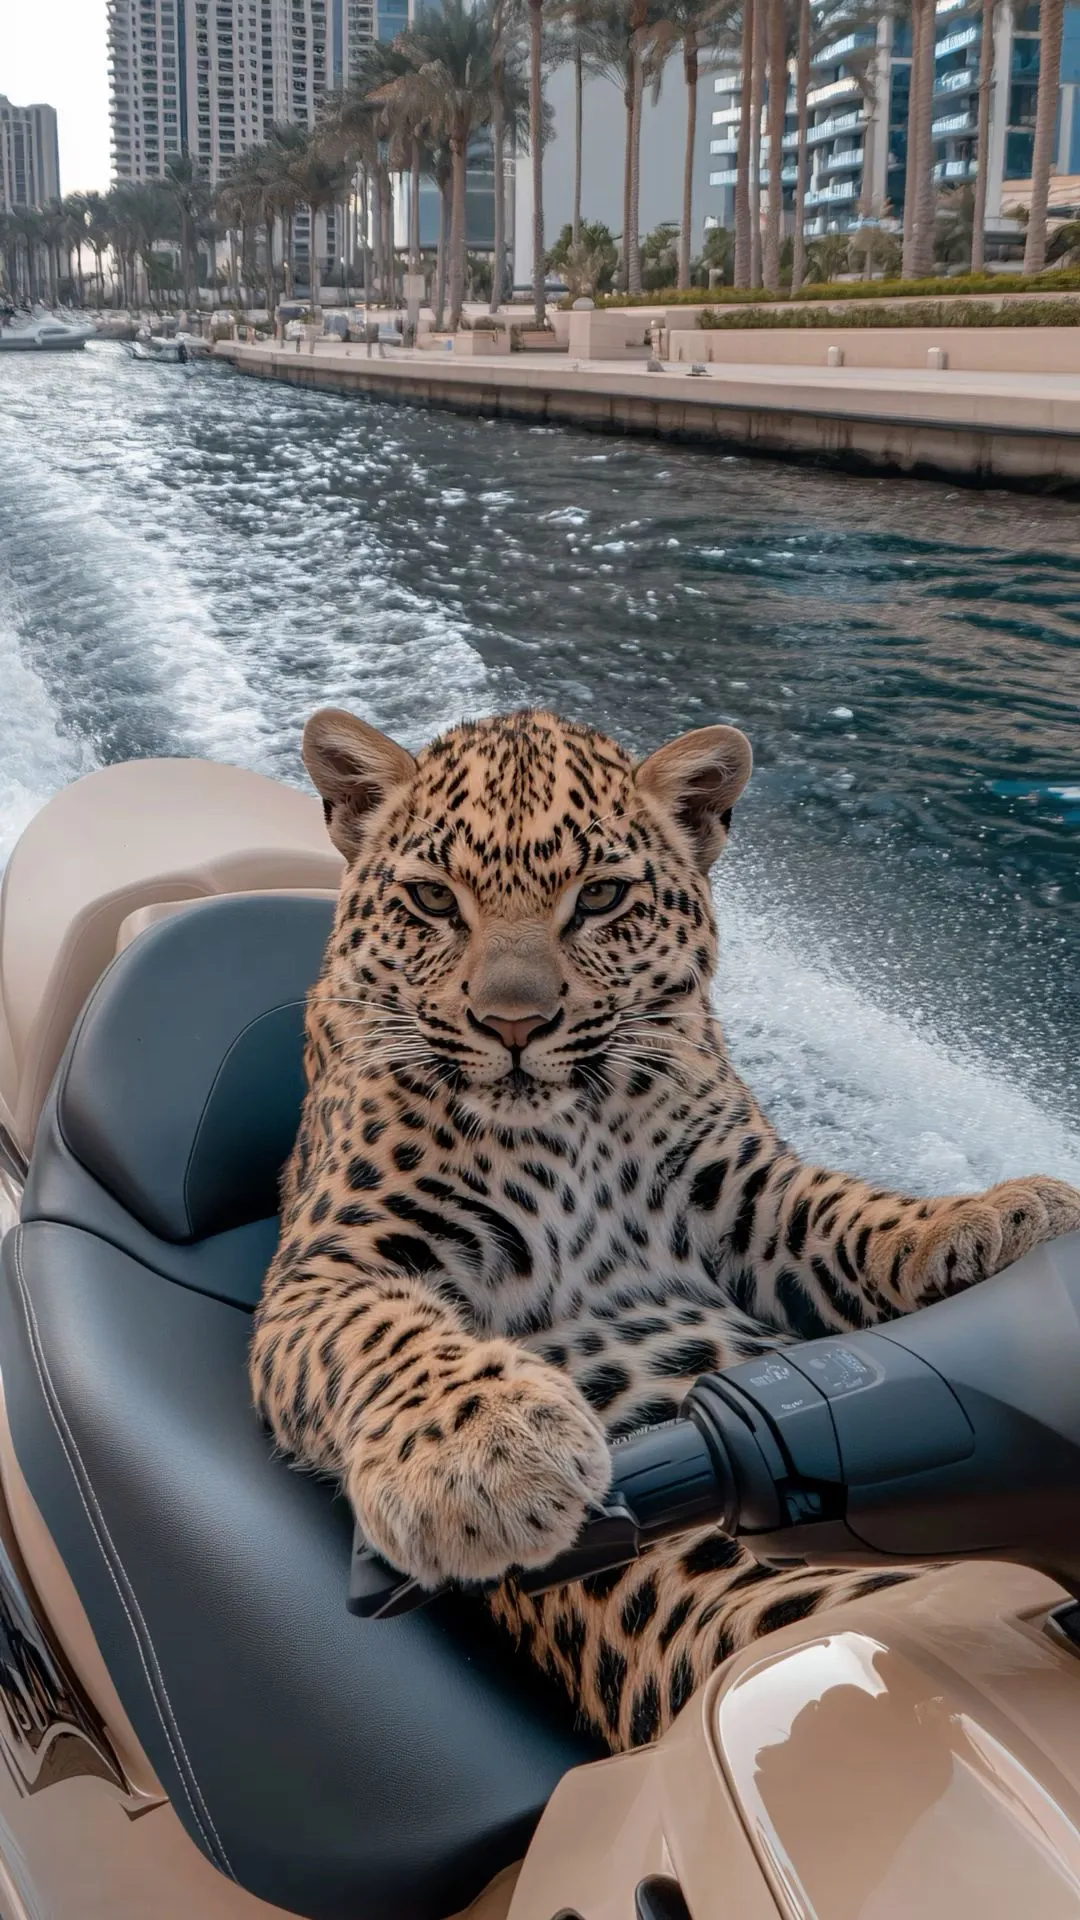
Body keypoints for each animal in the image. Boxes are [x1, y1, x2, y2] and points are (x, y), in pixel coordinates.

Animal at [251, 703, 1080, 1753]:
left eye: (601, 897)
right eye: (435, 902)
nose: (512, 1024)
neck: (571, 1124)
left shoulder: (752, 1203)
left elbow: (858, 1216)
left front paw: (1006, 1213)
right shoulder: (332, 1263)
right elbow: (385, 1332)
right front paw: (486, 1455)